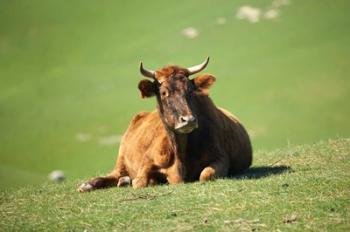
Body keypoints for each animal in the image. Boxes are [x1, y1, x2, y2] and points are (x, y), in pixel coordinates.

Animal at [77, 58, 252, 192]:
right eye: (163, 92)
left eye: (190, 90)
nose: (188, 120)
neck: (180, 151)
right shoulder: (146, 162)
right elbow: (139, 182)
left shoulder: (221, 158)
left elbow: (205, 175)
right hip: (121, 160)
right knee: (113, 175)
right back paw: (88, 184)